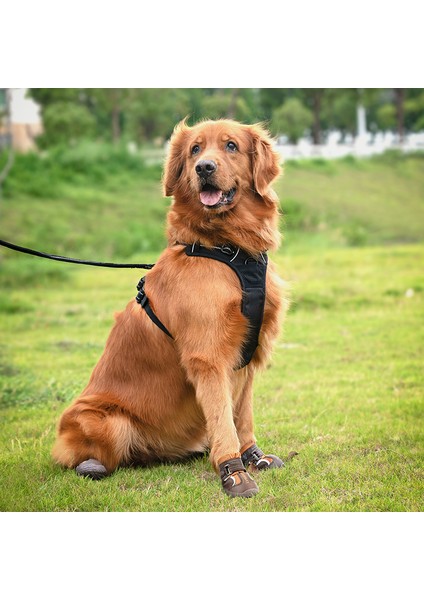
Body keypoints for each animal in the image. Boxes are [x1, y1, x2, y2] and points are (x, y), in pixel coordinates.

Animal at [51, 117, 286, 496]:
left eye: (231, 146)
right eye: (195, 149)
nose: (204, 167)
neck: (227, 248)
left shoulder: (249, 354)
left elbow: (242, 415)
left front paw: (254, 456)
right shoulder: (208, 358)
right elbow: (224, 419)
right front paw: (233, 472)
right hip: (108, 421)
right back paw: (95, 464)